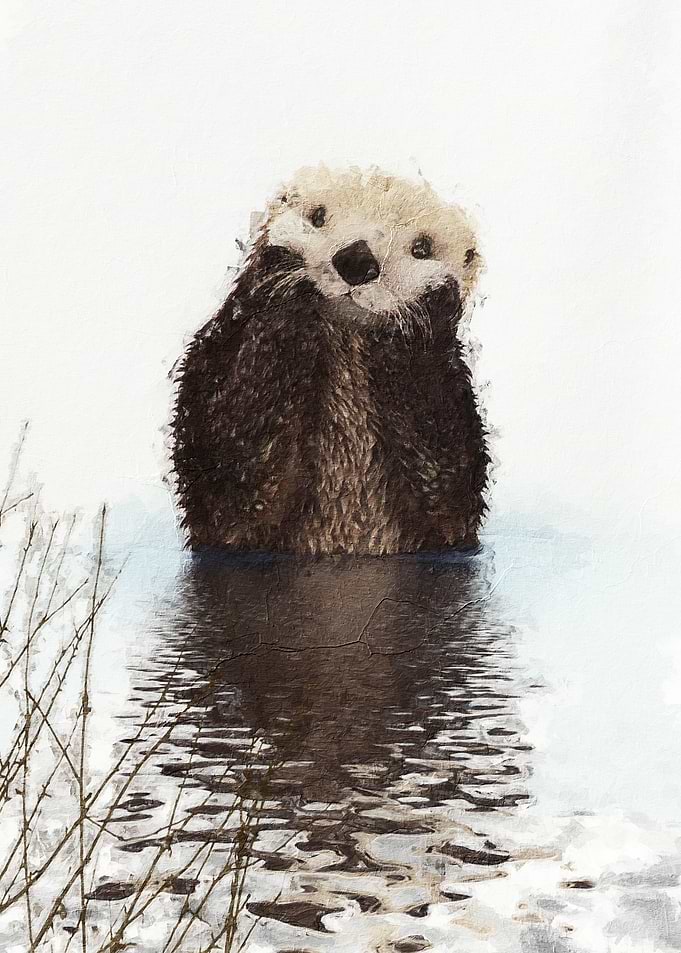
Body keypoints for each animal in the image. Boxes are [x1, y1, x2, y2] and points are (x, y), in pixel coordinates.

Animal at [171, 166, 489, 555]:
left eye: (422, 248)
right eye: (317, 216)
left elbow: (447, 490)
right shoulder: (214, 365)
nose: (357, 260)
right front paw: (291, 294)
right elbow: (233, 473)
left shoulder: (453, 410)